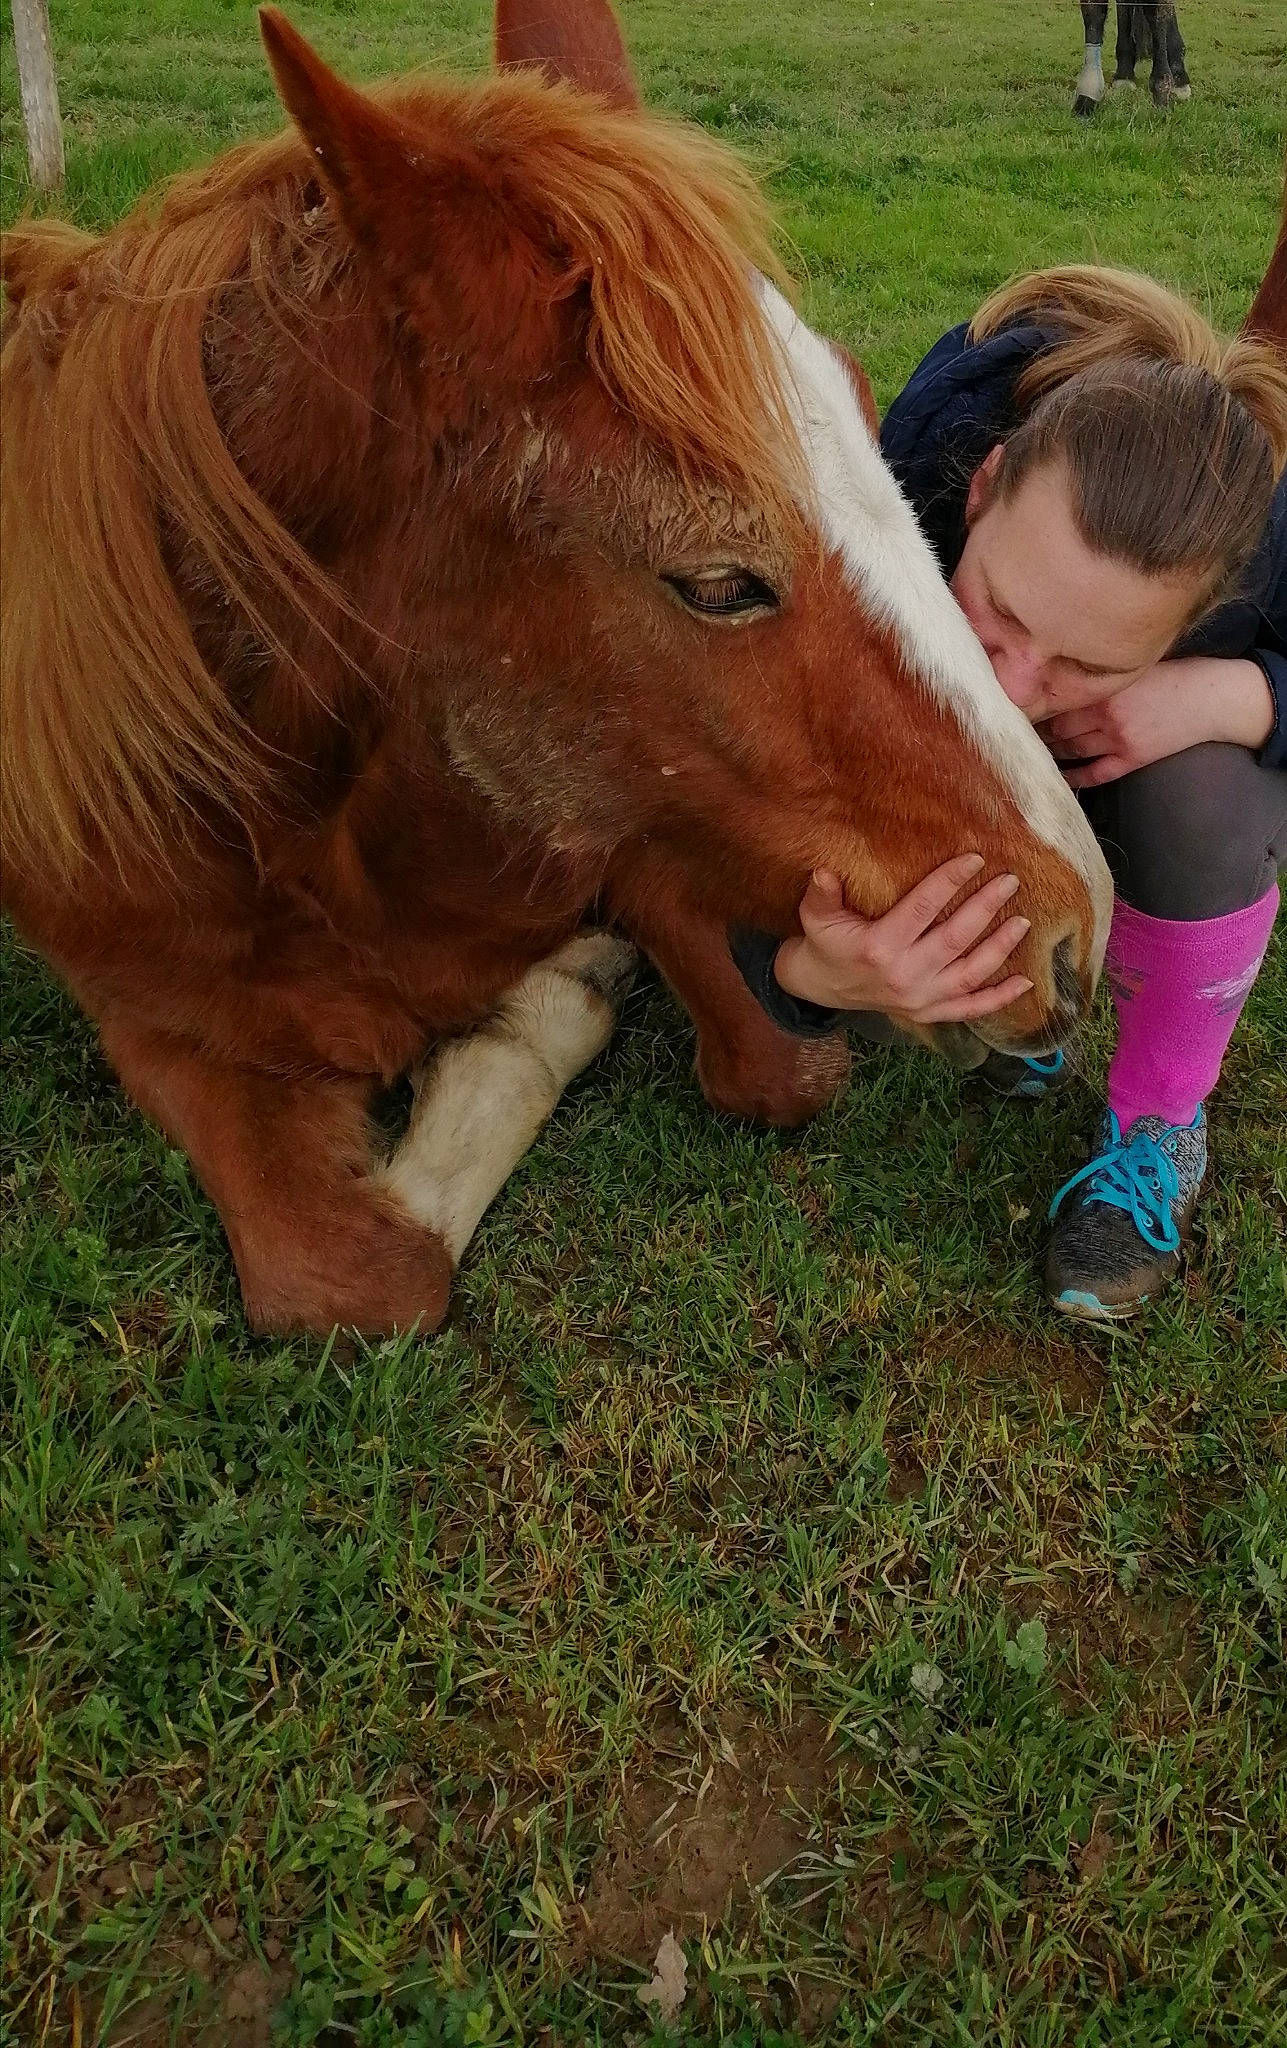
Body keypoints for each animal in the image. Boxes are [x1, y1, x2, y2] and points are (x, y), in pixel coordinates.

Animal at [1, 0, 1114, 1339]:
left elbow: (777, 1065)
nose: (1075, 928)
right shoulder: (151, 1010)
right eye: (718, 581)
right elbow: (365, 1278)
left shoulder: (643, 817)